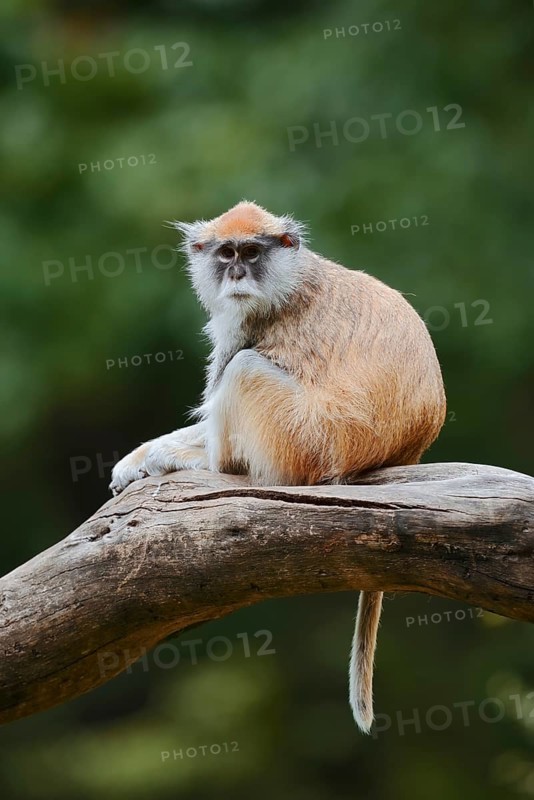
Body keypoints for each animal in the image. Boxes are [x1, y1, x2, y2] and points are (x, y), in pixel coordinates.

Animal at [110, 200, 446, 733]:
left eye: (251, 252)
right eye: (226, 253)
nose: (237, 273)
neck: (291, 277)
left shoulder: (250, 326)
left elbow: (224, 396)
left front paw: (170, 457)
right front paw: (134, 461)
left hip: (302, 441)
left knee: (244, 370)